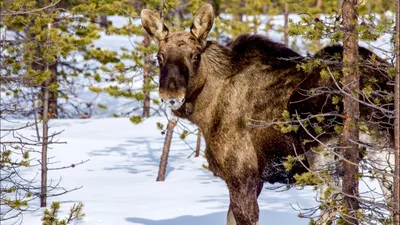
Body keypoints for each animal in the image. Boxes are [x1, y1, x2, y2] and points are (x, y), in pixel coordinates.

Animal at [140, 3, 394, 225]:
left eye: (195, 56)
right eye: (159, 57)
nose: (171, 94)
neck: (206, 111)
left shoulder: (243, 176)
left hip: (319, 144)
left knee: (333, 202)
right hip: (380, 148)